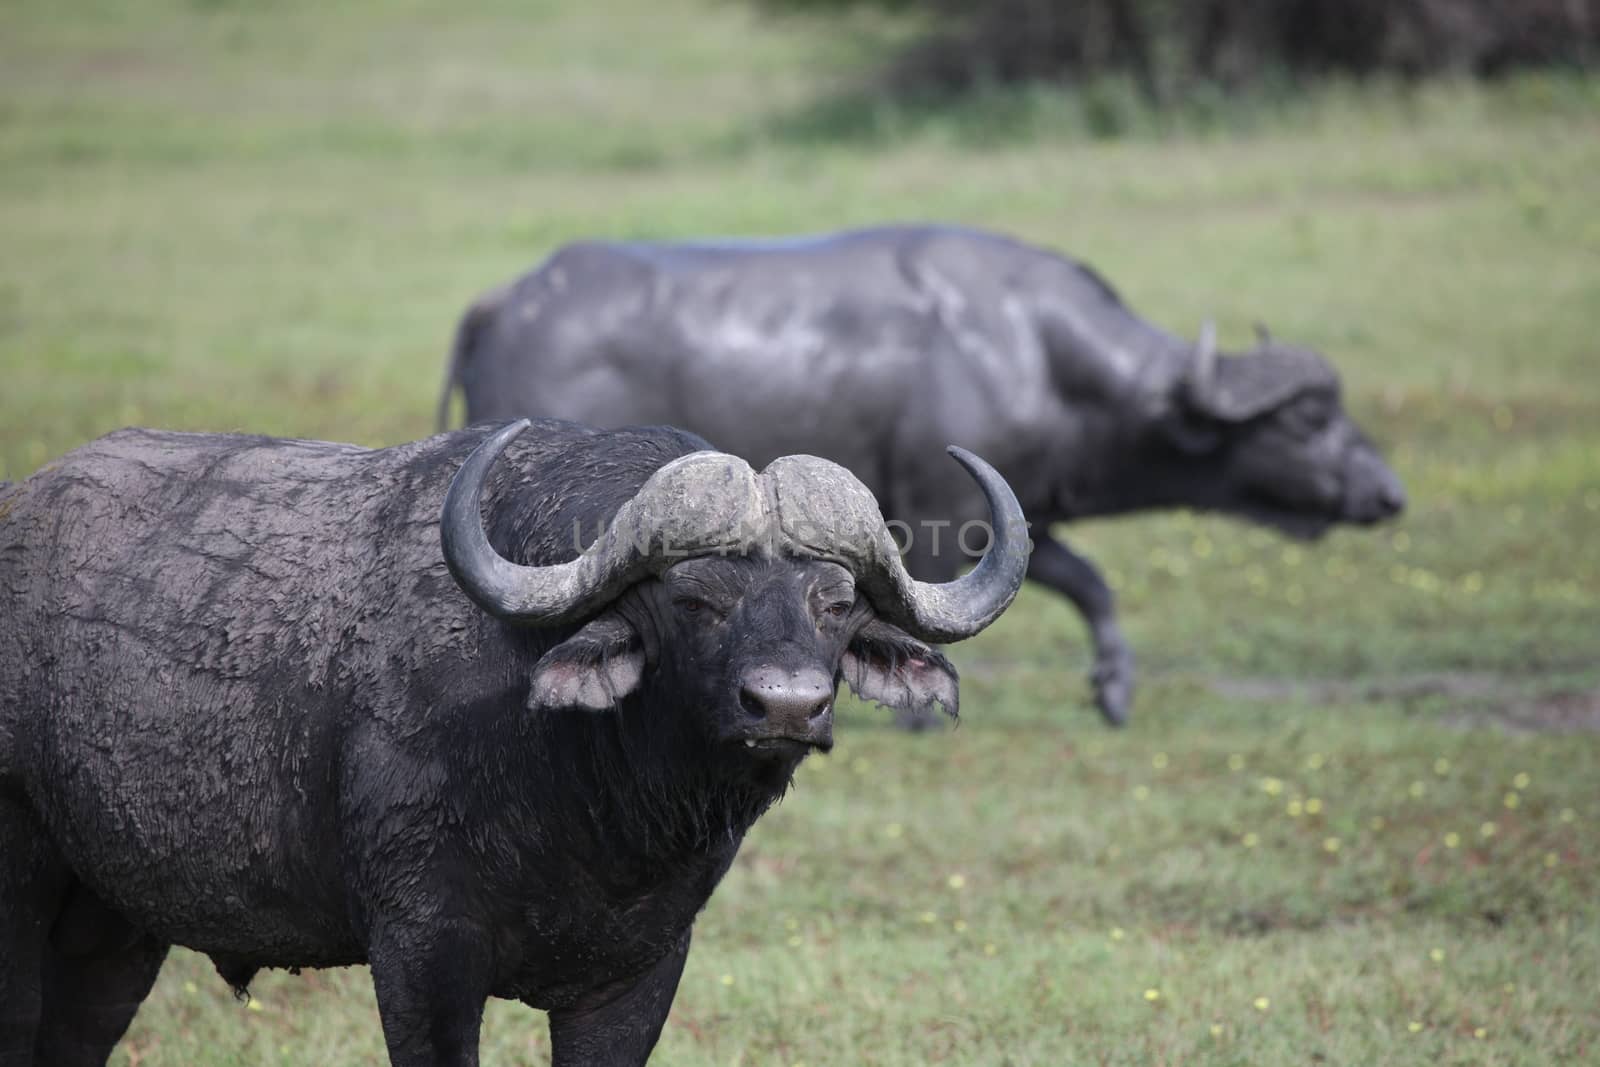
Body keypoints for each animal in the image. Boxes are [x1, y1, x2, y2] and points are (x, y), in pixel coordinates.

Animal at [0, 419, 1024, 1067]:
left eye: (836, 602)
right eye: (692, 597)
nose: (786, 705)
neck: (587, 812)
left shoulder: (639, 976)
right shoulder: (421, 957)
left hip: (114, 925)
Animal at [438, 225, 1401, 726]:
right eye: (1307, 418)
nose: (1387, 492)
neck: (1037, 353)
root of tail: (506, 302)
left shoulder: (1011, 524)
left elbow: (1089, 583)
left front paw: (1114, 689)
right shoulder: (941, 529)